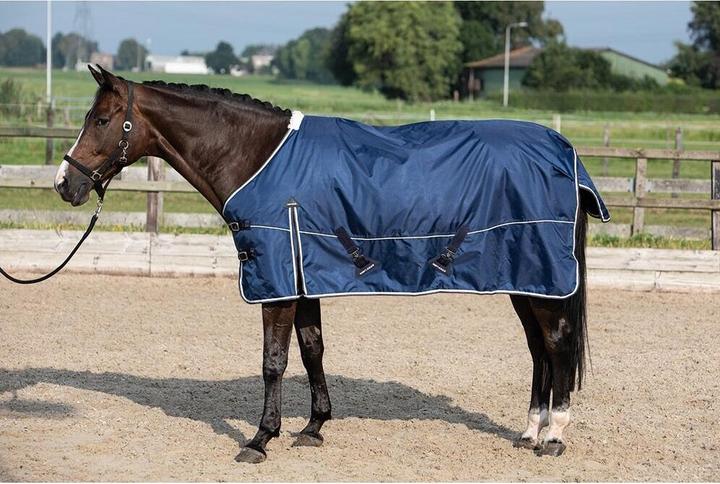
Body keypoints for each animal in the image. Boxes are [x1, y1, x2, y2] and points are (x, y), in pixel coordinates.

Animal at [54, 66, 600, 462]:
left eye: (100, 120)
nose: (65, 183)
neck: (257, 158)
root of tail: (567, 156)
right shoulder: (304, 277)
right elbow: (312, 349)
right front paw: (313, 427)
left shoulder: (275, 280)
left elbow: (274, 361)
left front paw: (260, 439)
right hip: (529, 280)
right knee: (539, 350)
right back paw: (530, 432)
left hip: (542, 279)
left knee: (557, 344)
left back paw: (554, 437)